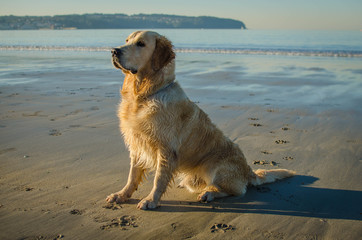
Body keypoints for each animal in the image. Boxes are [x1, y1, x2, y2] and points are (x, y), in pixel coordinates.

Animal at [106, 31, 296, 209]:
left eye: (141, 44)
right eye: (127, 40)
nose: (114, 51)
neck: (144, 95)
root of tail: (248, 171)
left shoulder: (166, 149)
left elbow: (159, 179)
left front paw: (150, 200)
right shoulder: (137, 144)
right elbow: (132, 175)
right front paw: (121, 195)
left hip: (215, 168)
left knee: (234, 191)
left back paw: (208, 194)